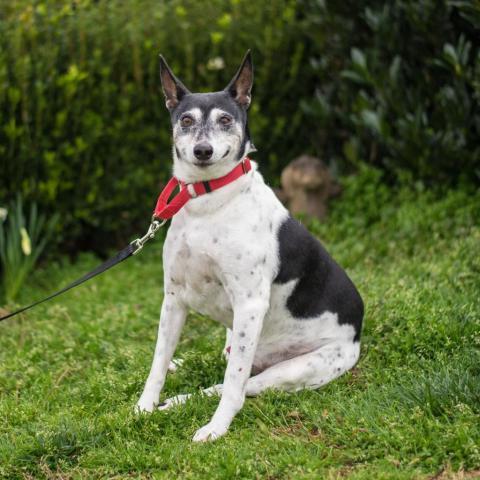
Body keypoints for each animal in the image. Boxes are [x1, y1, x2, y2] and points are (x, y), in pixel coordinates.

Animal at [135, 50, 364, 440]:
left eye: (226, 119)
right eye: (186, 120)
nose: (202, 150)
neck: (208, 202)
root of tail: (358, 333)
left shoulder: (250, 303)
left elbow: (232, 386)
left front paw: (216, 428)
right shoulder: (174, 298)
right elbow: (158, 362)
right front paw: (145, 405)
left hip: (293, 369)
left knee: (237, 385)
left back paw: (187, 404)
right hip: (236, 340)